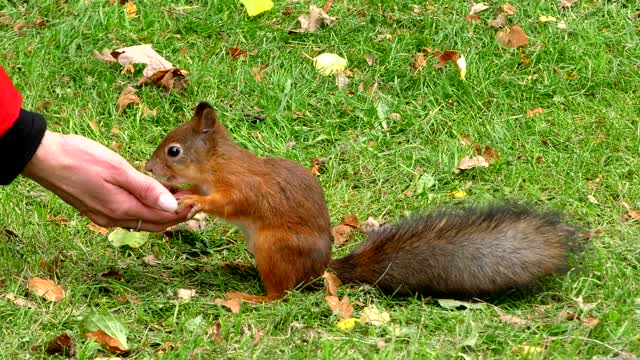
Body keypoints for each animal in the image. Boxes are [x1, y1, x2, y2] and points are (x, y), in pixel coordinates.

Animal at [145, 102, 576, 302]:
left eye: (174, 151)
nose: (148, 168)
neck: (220, 165)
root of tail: (320, 271)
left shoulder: (244, 188)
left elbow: (228, 204)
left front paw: (191, 200)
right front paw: (183, 195)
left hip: (275, 248)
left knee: (280, 293)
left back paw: (249, 296)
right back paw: (238, 268)